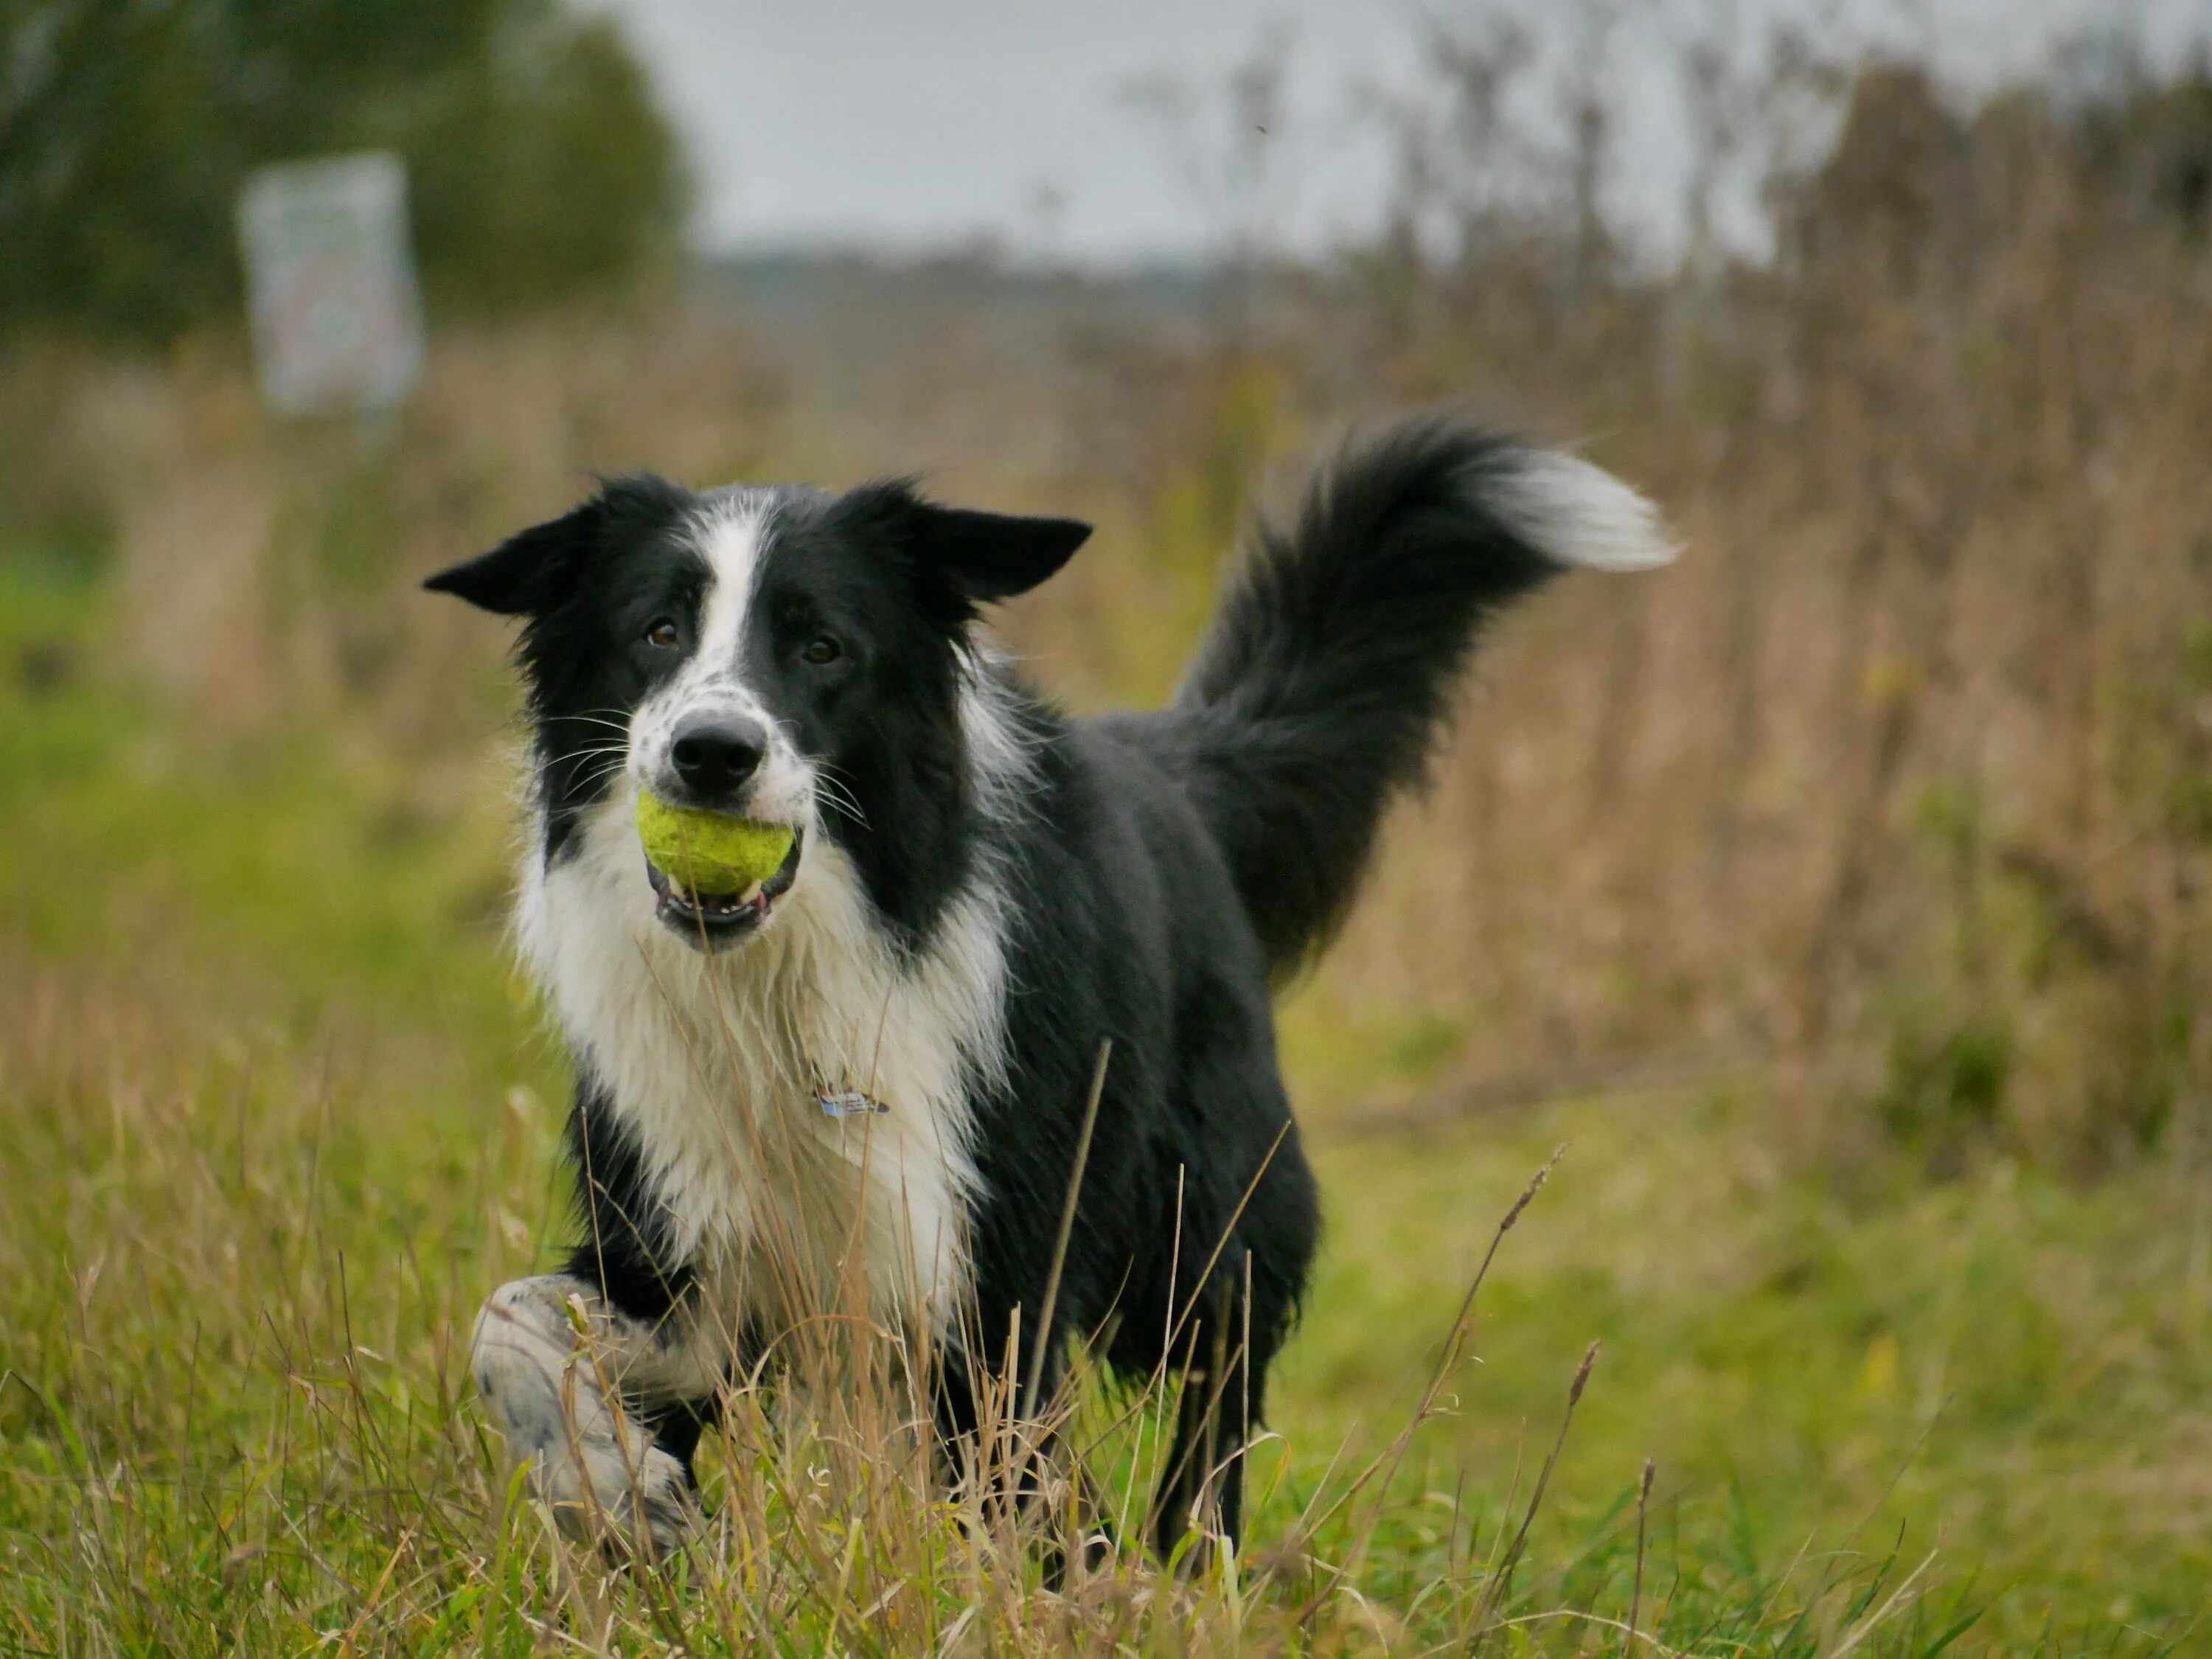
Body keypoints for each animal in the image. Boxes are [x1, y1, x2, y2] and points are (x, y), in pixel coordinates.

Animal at [427, 416, 1672, 1557]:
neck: (791, 978)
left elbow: (1013, 1482)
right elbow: (510, 1321)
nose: (711, 753)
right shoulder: (683, 1237)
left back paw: (1193, 1569)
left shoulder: (990, 1264)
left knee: (1218, 1398)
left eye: (823, 647)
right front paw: (611, 1485)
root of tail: (1175, 759)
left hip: (1205, 1221)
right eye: (657, 631)